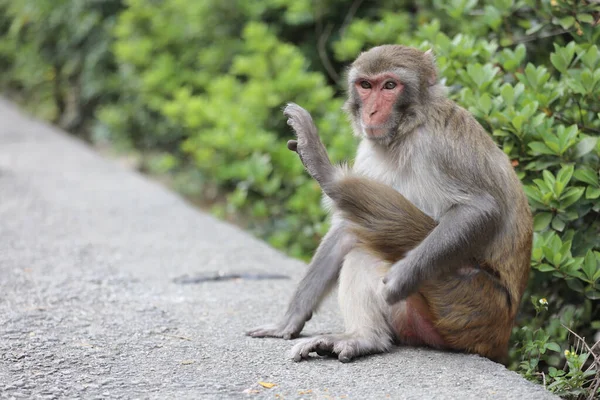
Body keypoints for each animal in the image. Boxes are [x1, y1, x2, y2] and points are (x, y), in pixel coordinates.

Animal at [246, 45, 532, 364]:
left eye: (390, 86)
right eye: (366, 85)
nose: (371, 111)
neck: (406, 132)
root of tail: (501, 339)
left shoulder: (440, 146)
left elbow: (479, 209)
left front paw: (401, 277)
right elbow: (342, 229)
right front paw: (288, 321)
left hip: (469, 305)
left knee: (370, 245)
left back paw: (329, 176)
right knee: (357, 233)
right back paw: (364, 337)